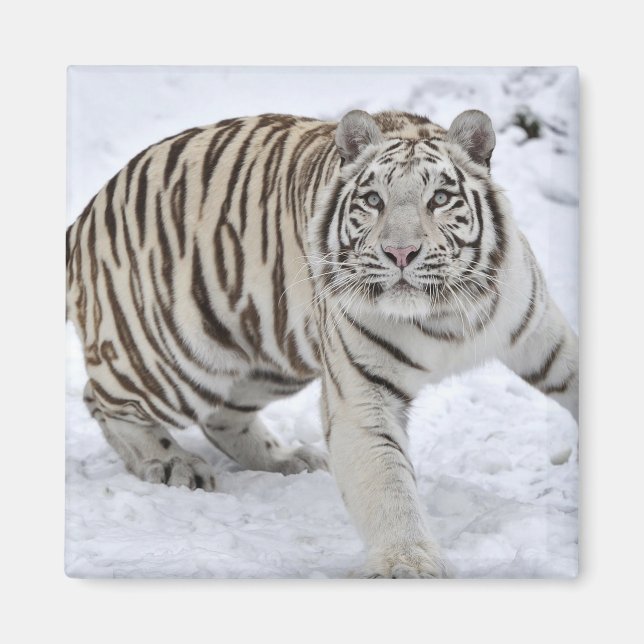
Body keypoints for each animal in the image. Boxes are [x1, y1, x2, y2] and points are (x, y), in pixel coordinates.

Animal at [66, 108, 579, 578]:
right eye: (373, 199)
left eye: (439, 198)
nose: (400, 253)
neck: (444, 315)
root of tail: (87, 213)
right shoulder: (362, 397)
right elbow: (389, 487)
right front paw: (405, 565)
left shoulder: (541, 334)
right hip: (176, 356)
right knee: (103, 399)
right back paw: (174, 463)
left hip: (271, 358)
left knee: (222, 416)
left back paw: (286, 459)